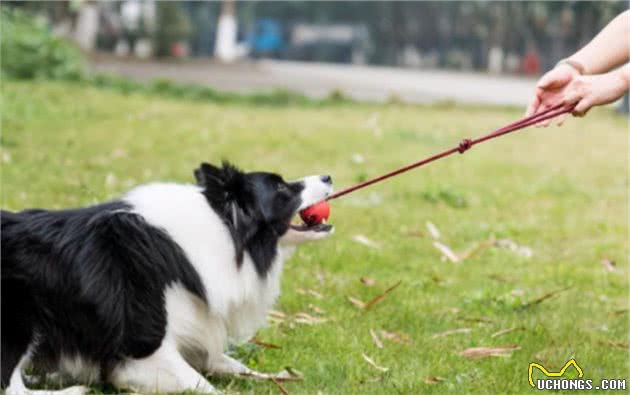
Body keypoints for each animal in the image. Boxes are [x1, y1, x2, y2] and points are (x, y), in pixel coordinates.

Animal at [2, 162, 336, 394]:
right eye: (281, 188)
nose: (328, 177)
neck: (222, 229)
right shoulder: (143, 350)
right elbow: (204, 385)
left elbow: (233, 365)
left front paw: (282, 376)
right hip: (20, 318)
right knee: (12, 388)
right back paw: (74, 388)